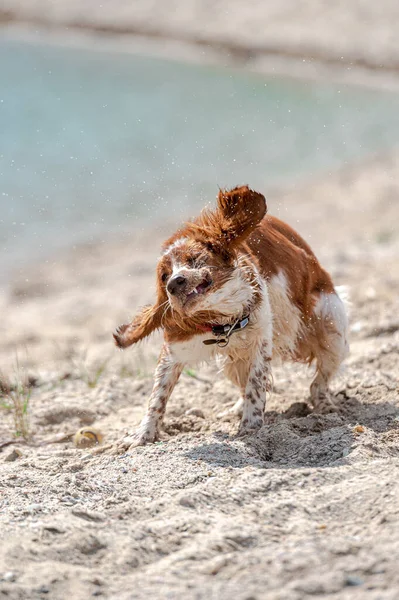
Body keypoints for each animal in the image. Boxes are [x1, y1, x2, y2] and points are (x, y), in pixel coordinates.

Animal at [114, 185, 348, 448]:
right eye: (164, 276)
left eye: (193, 259)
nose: (174, 283)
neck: (222, 320)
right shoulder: (174, 350)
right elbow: (158, 396)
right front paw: (143, 435)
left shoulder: (260, 341)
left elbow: (256, 385)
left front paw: (250, 426)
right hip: (230, 363)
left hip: (332, 329)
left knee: (317, 385)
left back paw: (326, 407)